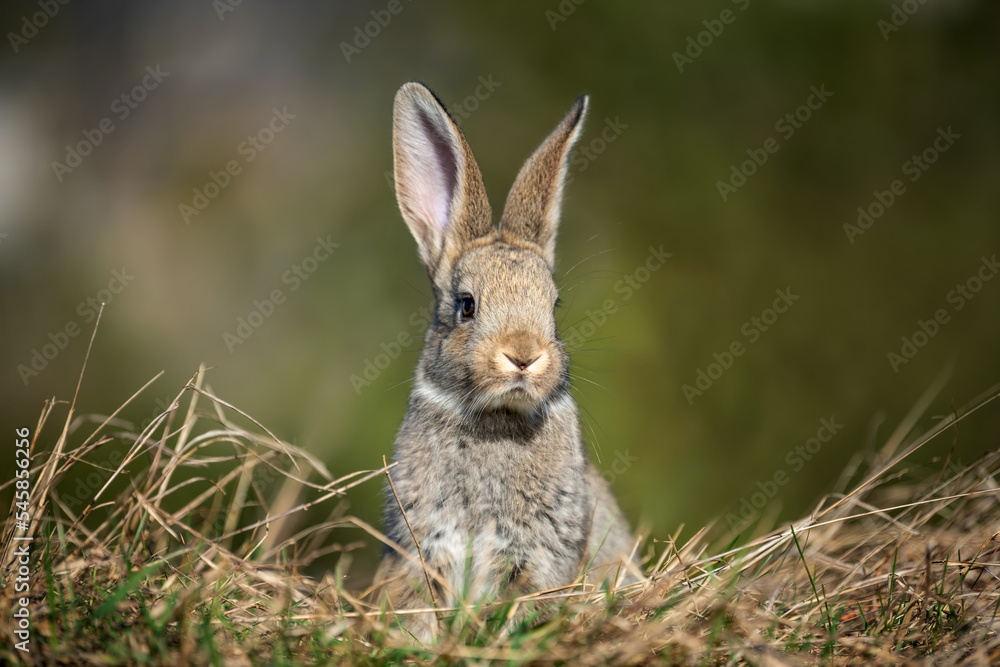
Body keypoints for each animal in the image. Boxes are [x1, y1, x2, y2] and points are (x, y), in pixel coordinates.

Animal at [376, 83, 632, 640]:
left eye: (553, 305)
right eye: (467, 305)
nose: (524, 356)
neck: (495, 420)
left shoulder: (539, 554)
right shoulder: (422, 548)